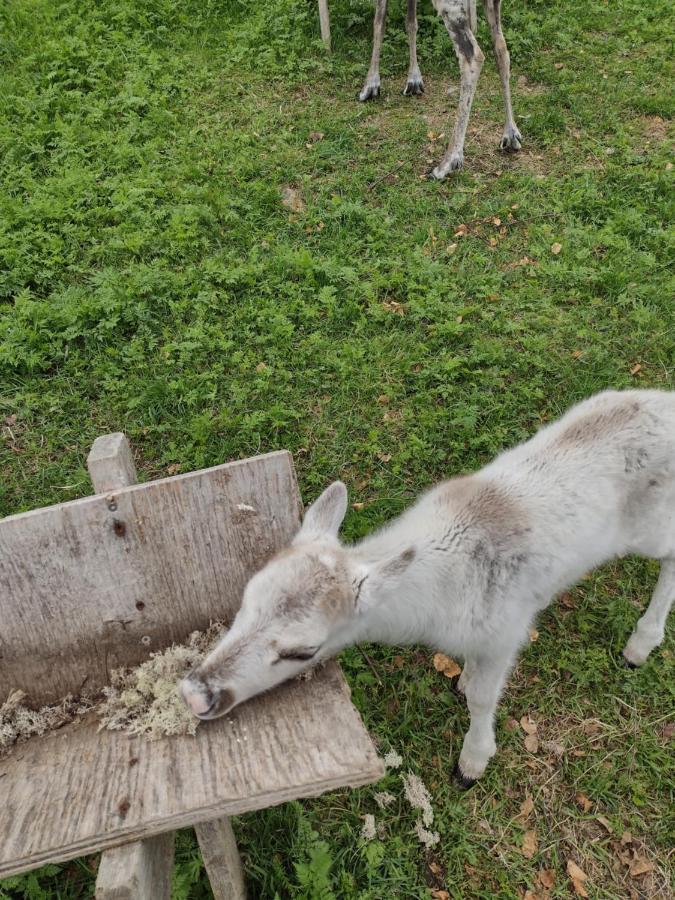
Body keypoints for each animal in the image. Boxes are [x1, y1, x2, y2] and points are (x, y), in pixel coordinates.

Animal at [182, 390, 675, 784]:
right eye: (246, 598)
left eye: (303, 651)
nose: (195, 694)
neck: (437, 604)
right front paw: (464, 681)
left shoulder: (507, 629)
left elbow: (482, 698)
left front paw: (472, 763)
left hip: (650, 525)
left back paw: (639, 646)